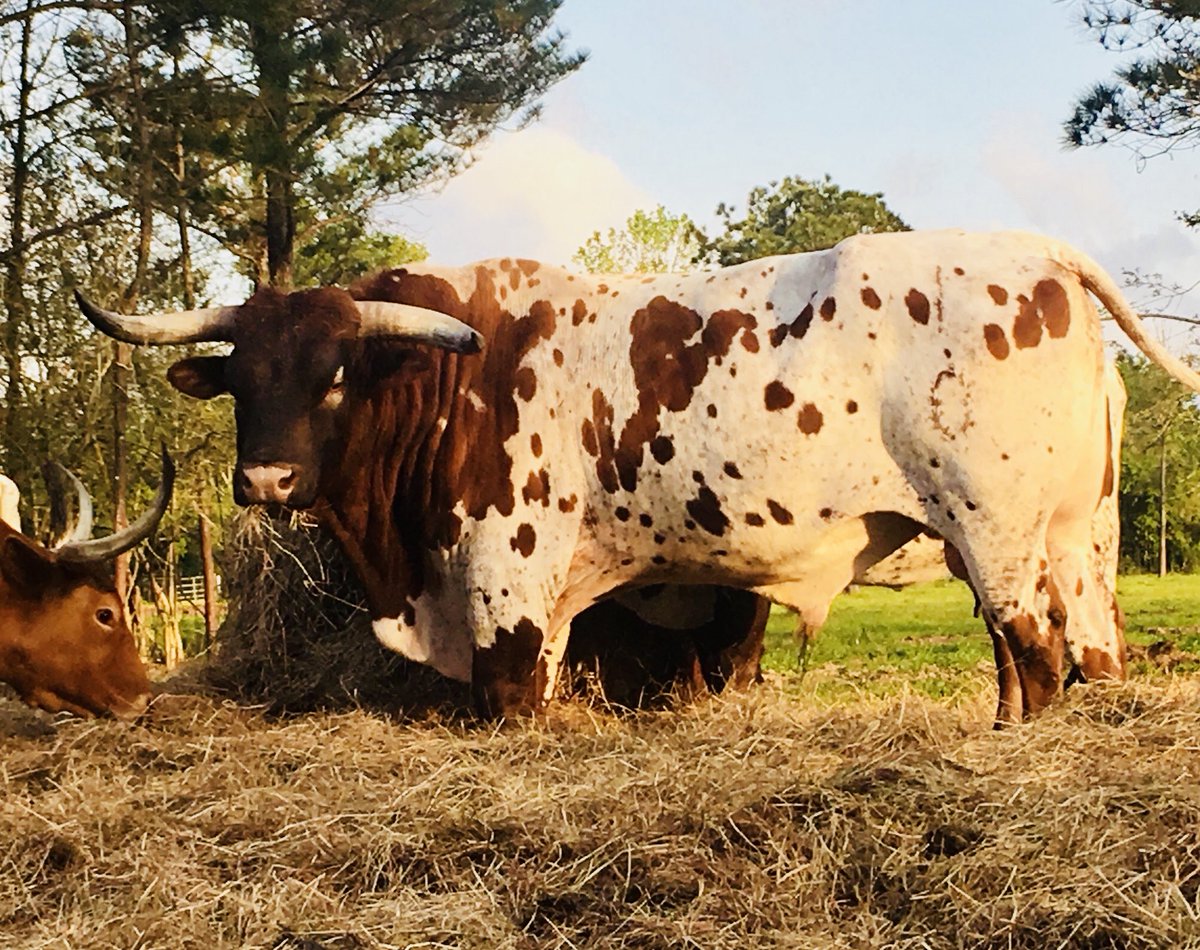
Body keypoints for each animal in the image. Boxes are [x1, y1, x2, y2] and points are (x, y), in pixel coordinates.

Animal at [77, 229, 1190, 724]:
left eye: (337, 374)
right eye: (240, 381)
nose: (265, 481)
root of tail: (1038, 253)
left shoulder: (507, 584)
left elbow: (510, 698)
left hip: (997, 534)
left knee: (1034, 656)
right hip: (1069, 542)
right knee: (1072, 657)